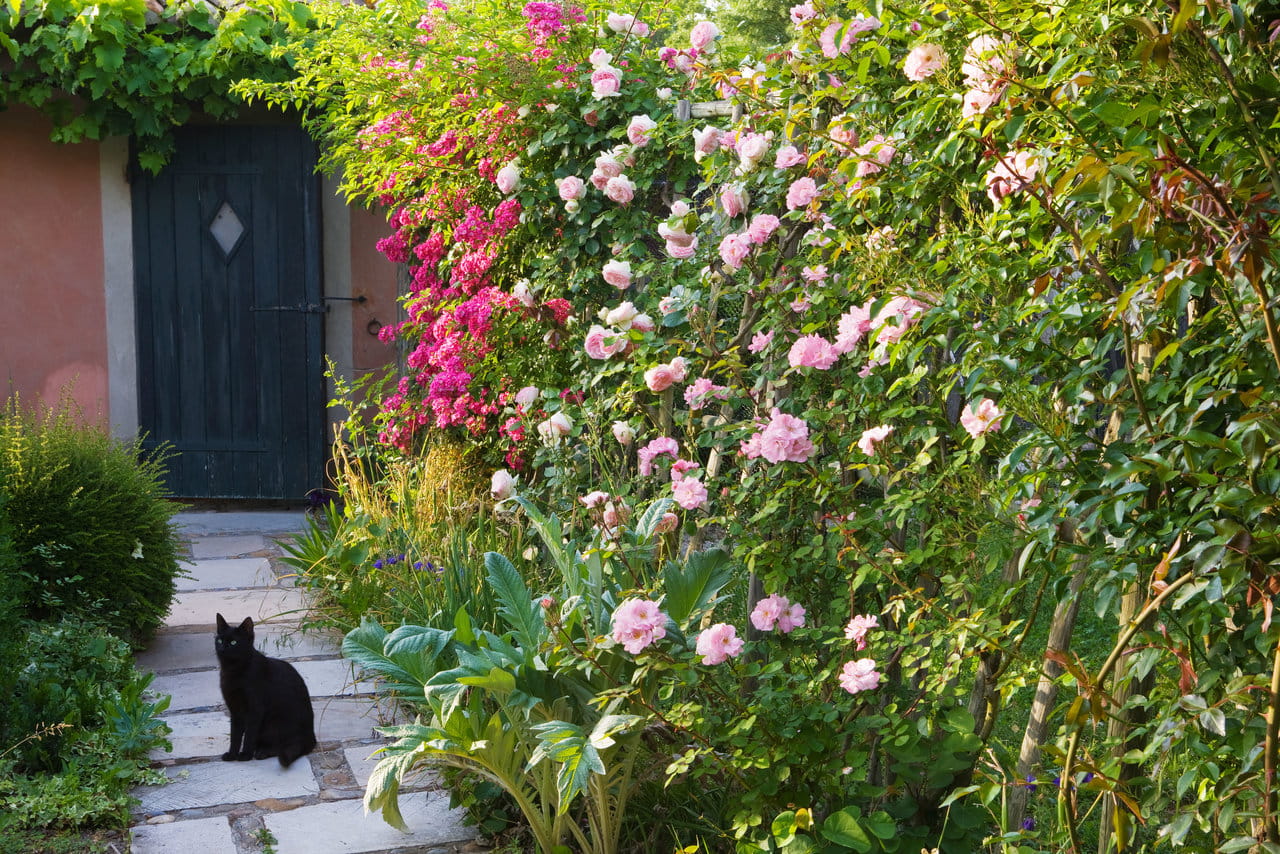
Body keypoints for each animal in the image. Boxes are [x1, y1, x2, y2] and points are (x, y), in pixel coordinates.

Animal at [213, 614, 316, 768]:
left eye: (233, 642)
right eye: (219, 640)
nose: (222, 648)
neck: (233, 671)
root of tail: (311, 738)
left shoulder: (255, 709)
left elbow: (249, 735)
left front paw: (245, 755)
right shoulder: (235, 709)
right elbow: (235, 735)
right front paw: (232, 754)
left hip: (276, 723)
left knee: (285, 745)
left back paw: (262, 752)